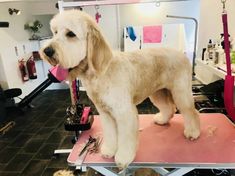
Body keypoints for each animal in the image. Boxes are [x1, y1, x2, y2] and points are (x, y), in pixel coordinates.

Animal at [40, 10, 200, 169]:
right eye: (55, 32)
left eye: (71, 34)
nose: (47, 50)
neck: (101, 72)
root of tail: (181, 53)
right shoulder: (105, 113)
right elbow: (111, 134)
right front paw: (109, 150)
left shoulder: (125, 113)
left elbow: (126, 139)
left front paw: (123, 158)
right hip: (158, 92)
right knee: (169, 108)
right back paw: (162, 119)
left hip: (180, 92)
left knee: (191, 112)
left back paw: (193, 132)